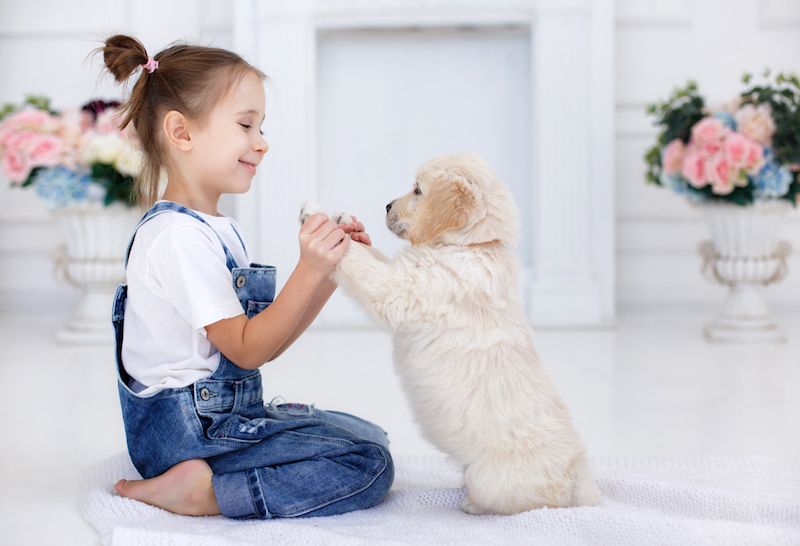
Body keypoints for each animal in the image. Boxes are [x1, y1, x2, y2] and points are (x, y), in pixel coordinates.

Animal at [304, 154, 596, 516]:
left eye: (418, 190)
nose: (386, 206)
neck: (470, 245)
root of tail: (579, 476)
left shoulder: (396, 289)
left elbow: (360, 262)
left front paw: (316, 214)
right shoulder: (402, 273)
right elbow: (372, 255)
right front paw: (342, 220)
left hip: (492, 479)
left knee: (528, 504)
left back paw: (472, 505)